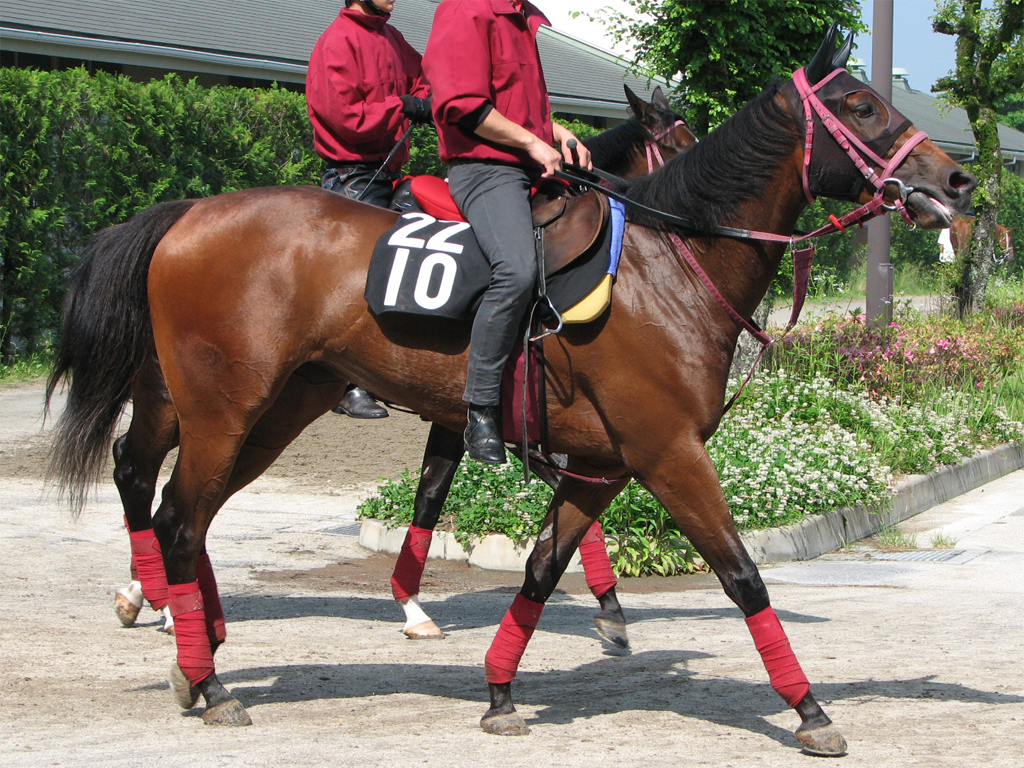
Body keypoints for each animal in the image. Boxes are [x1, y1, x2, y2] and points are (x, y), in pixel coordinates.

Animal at [94, 85, 696, 651]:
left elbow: (431, 496)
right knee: (138, 468)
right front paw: (608, 601)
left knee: (157, 473)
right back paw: (157, 596)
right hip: (195, 396)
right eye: (679, 143)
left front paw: (413, 605)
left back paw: (154, 594)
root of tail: (189, 214)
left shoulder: (463, 417)